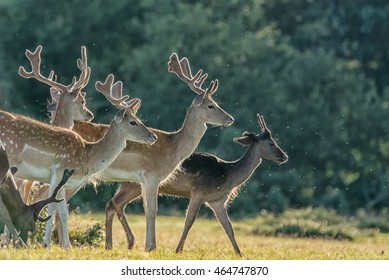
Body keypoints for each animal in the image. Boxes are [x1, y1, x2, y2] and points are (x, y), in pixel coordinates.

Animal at [104, 114, 286, 256]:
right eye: (272, 143)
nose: (284, 156)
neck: (228, 175)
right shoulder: (199, 192)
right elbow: (189, 221)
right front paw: (177, 250)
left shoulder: (218, 201)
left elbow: (228, 226)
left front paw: (240, 253)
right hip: (135, 184)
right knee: (116, 203)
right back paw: (127, 242)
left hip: (130, 185)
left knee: (112, 203)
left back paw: (117, 244)